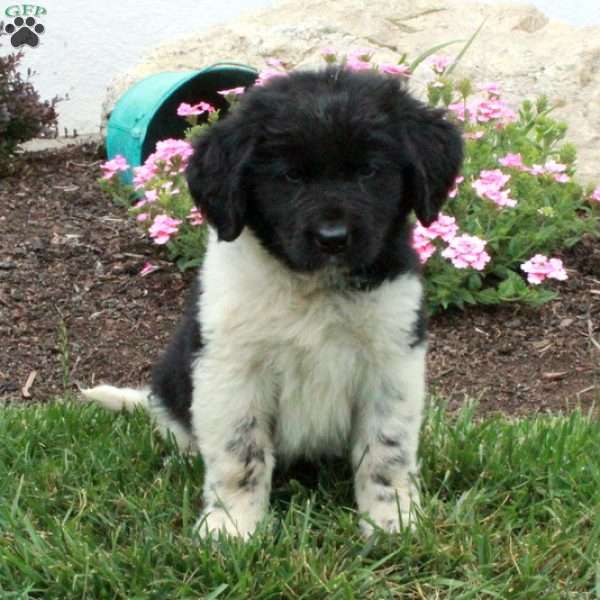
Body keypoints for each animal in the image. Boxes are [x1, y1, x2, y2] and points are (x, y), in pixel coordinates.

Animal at [82, 67, 462, 540]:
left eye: (369, 171)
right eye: (290, 177)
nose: (333, 238)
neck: (314, 289)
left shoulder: (391, 360)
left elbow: (386, 452)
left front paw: (393, 522)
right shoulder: (231, 368)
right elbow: (239, 455)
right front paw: (231, 528)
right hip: (175, 374)